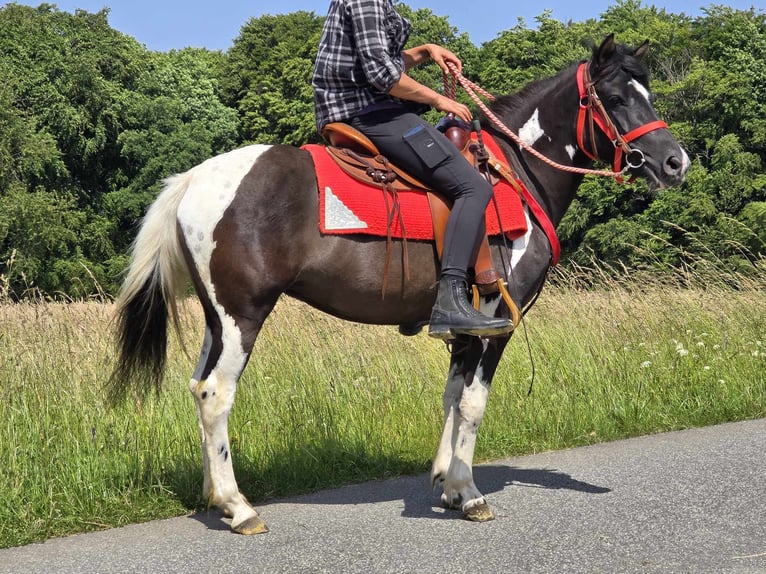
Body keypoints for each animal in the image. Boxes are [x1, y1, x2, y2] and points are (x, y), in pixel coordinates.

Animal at [109, 34, 689, 535]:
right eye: (615, 98)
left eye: (649, 93)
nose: (675, 162)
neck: (515, 176)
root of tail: (193, 180)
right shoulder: (497, 322)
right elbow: (473, 405)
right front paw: (469, 493)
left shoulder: (464, 326)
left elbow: (451, 396)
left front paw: (448, 485)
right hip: (242, 314)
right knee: (215, 393)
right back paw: (239, 507)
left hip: (216, 318)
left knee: (196, 387)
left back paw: (216, 496)